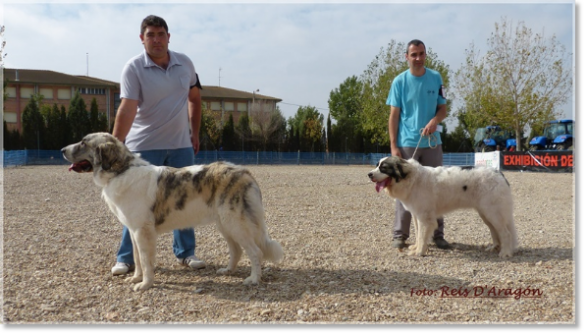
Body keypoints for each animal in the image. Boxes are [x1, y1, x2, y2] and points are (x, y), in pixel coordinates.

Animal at [62, 133, 282, 292]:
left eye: (83, 143)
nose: (62, 149)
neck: (121, 170)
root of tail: (245, 172)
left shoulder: (143, 232)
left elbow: (145, 260)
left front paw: (145, 284)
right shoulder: (133, 231)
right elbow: (138, 259)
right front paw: (136, 278)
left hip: (235, 224)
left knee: (255, 252)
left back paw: (253, 279)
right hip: (226, 225)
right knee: (236, 250)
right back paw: (228, 270)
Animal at [368, 157, 512, 258]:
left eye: (383, 168)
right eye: (377, 166)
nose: (369, 174)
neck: (411, 179)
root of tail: (499, 173)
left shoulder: (425, 218)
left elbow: (422, 235)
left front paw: (419, 252)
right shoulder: (417, 216)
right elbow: (418, 234)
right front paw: (416, 248)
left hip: (493, 212)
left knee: (505, 233)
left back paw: (505, 252)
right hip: (486, 213)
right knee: (494, 230)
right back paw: (495, 247)